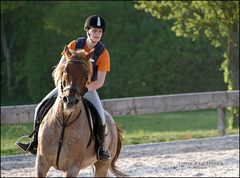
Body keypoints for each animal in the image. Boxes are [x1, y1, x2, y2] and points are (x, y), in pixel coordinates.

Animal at [36, 46, 125, 177]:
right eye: (66, 70)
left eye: (85, 73)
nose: (70, 100)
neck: (64, 122)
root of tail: (112, 121)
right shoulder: (41, 162)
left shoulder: (72, 167)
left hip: (102, 165)